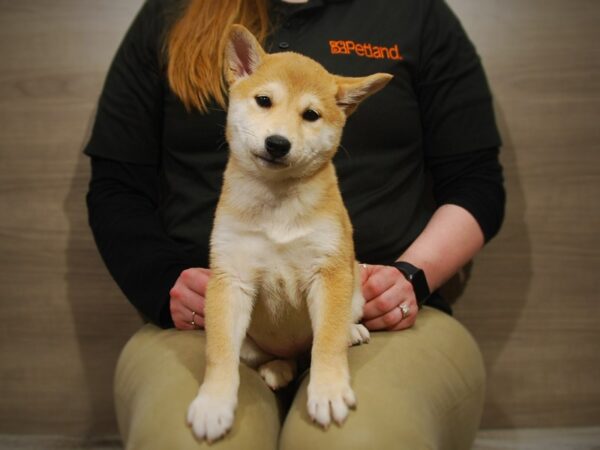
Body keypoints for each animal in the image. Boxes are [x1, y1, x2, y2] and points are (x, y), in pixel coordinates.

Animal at [188, 25, 394, 442]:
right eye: (264, 101)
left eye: (311, 115)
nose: (277, 143)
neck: (277, 205)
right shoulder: (230, 279)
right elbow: (218, 353)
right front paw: (213, 403)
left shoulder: (330, 272)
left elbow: (326, 343)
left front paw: (328, 391)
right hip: (254, 342)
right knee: (278, 357)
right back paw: (277, 369)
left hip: (354, 290)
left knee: (322, 340)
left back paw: (352, 332)